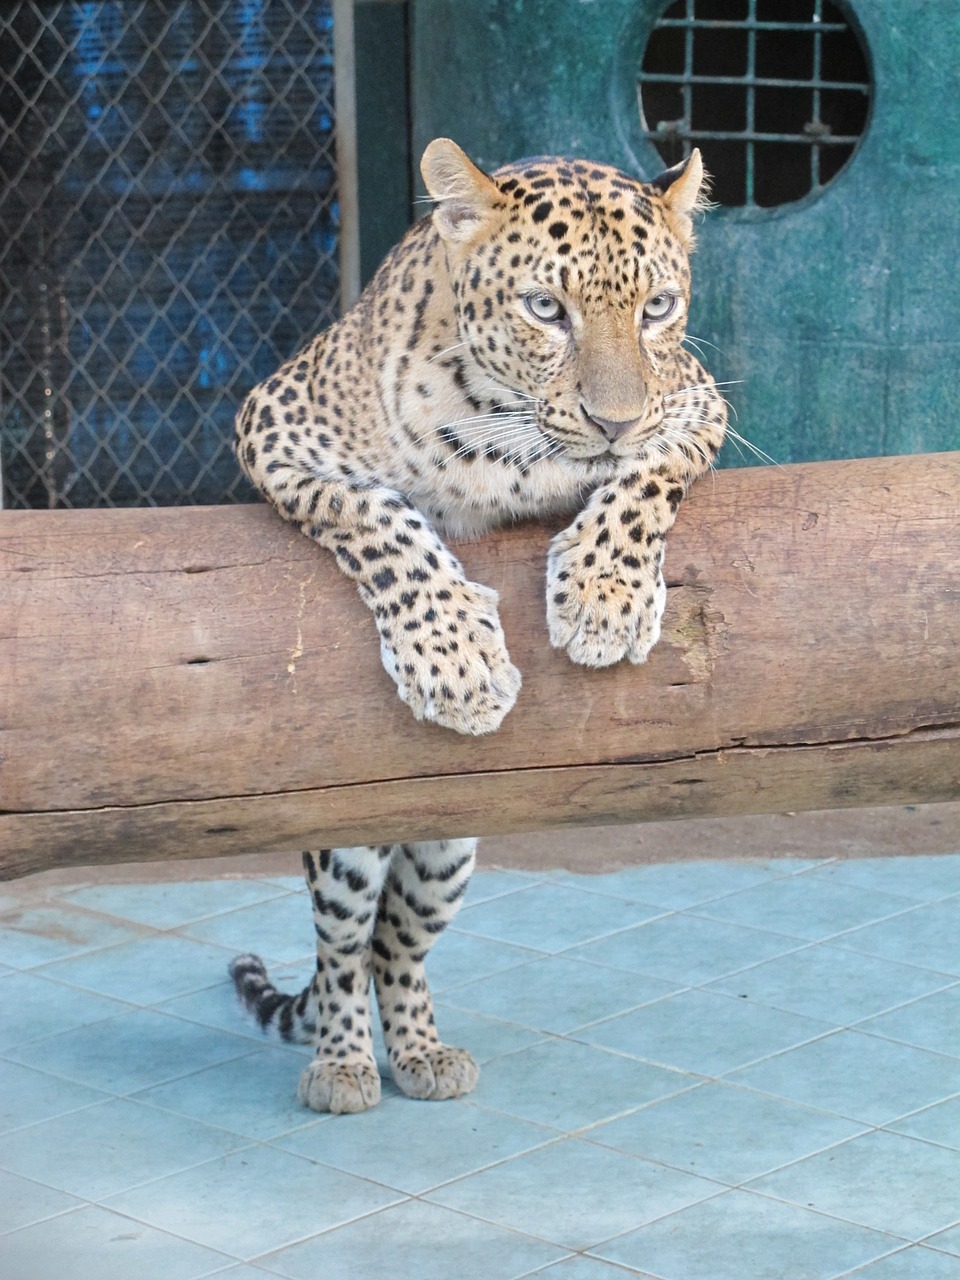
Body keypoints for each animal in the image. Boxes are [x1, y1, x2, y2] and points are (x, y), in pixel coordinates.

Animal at [231, 137, 727, 1111]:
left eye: (657, 308)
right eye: (545, 309)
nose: (612, 419)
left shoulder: (695, 400)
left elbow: (651, 471)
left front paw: (606, 594)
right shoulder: (273, 426)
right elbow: (374, 511)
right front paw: (455, 660)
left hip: (447, 853)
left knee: (395, 949)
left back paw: (423, 1053)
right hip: (347, 849)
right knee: (342, 951)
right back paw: (343, 1065)